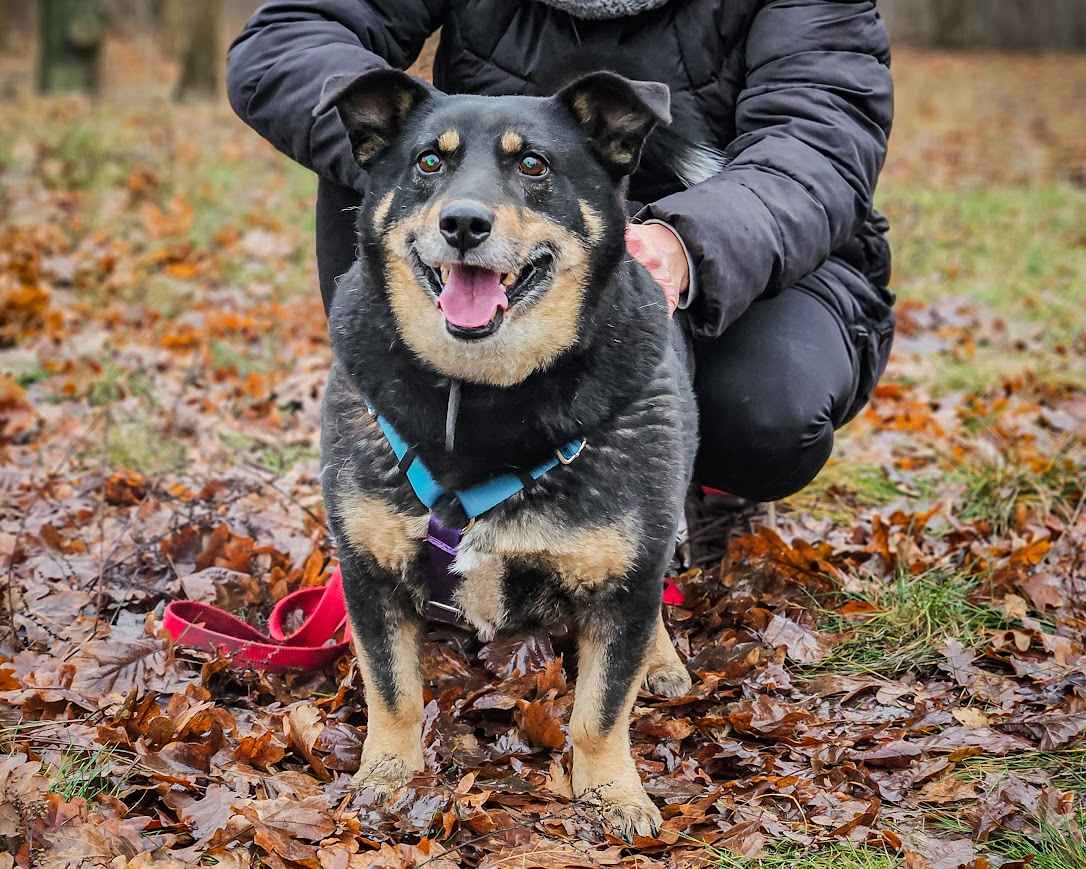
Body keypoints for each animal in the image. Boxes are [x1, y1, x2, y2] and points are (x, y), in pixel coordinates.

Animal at [314, 67, 699, 842]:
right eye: (429, 161)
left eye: (535, 166)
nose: (463, 224)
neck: (482, 397)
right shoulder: (367, 567)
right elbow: (393, 690)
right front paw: (388, 774)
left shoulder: (622, 579)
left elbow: (600, 709)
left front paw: (611, 792)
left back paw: (661, 658)